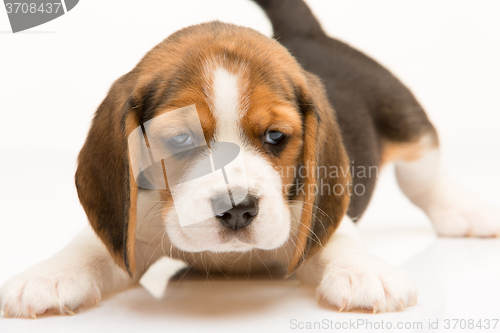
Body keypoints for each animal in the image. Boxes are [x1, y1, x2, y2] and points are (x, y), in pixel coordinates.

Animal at [0, 0, 500, 316]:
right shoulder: (134, 224)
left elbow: (335, 235)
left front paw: (363, 271)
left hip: (404, 115)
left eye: (276, 136)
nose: (237, 209)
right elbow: (91, 246)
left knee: (425, 174)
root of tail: (307, 33)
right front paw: (48, 275)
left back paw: (466, 211)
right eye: (180, 139)